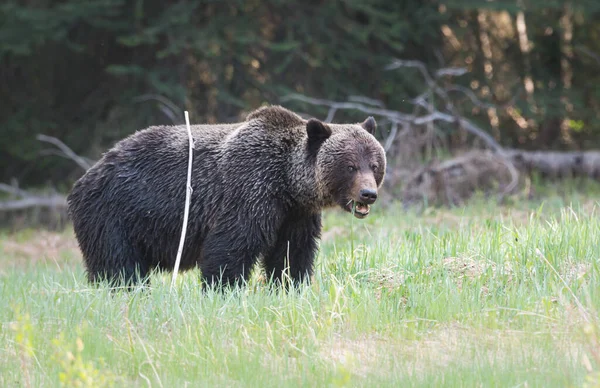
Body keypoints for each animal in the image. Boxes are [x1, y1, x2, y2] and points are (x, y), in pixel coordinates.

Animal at [65, 105, 384, 288]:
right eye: (350, 166)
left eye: (374, 164)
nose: (368, 194)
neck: (287, 184)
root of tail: (90, 171)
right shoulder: (250, 192)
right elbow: (231, 248)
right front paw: (223, 289)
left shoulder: (295, 215)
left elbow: (292, 253)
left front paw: (290, 285)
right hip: (114, 213)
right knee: (117, 266)